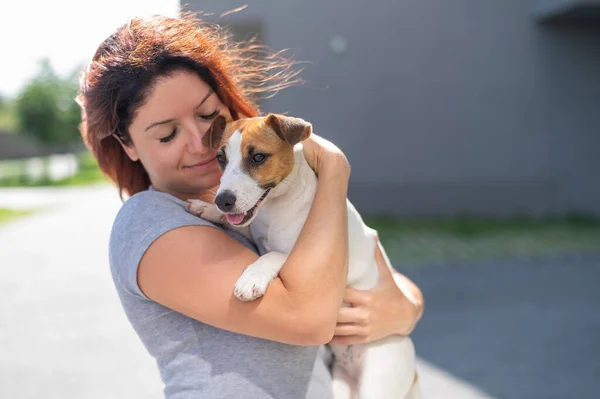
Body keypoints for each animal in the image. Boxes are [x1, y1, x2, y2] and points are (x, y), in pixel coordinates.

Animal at [190, 114, 420, 398]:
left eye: (258, 157)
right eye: (221, 158)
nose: (222, 201)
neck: (275, 207)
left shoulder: (302, 257)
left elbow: (273, 255)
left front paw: (251, 279)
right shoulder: (252, 227)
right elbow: (242, 226)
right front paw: (207, 209)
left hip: (378, 380)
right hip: (340, 385)